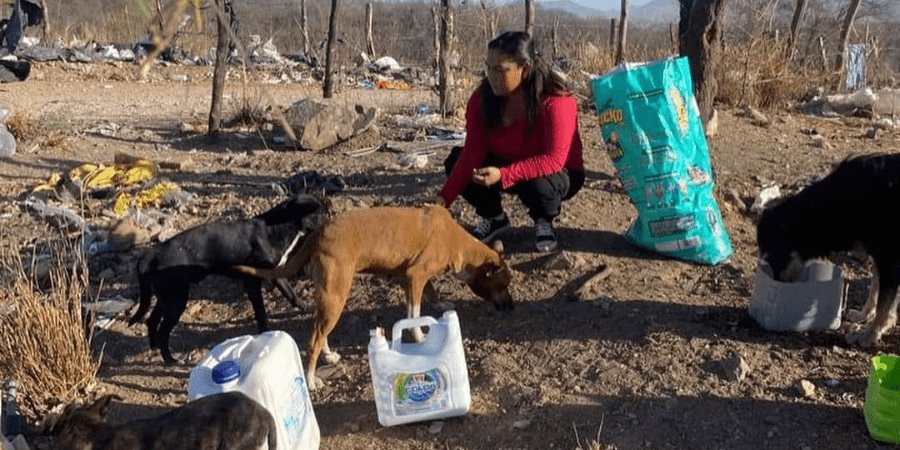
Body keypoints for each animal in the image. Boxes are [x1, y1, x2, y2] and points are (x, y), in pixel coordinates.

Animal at [128, 193, 328, 362]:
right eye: (321, 213)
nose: (332, 218)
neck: (276, 227)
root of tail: (153, 252)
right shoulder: (252, 282)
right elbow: (261, 313)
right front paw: (265, 335)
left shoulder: (275, 273)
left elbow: (291, 294)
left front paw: (307, 307)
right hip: (176, 299)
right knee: (163, 330)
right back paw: (170, 360)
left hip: (166, 297)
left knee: (152, 320)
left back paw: (154, 348)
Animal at [232, 205, 512, 390]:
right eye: (503, 284)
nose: (512, 307)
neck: (455, 241)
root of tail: (319, 233)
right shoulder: (415, 276)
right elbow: (414, 313)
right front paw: (420, 335)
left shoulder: (412, 277)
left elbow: (429, 292)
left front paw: (440, 302)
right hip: (336, 295)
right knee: (313, 340)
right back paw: (311, 381)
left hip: (329, 299)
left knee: (320, 332)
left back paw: (329, 355)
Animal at [760, 153, 900, 346]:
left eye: (776, 255)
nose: (779, 283)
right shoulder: (880, 257)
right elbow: (875, 288)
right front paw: (864, 315)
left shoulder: (890, 259)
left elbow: (884, 305)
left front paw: (868, 335)